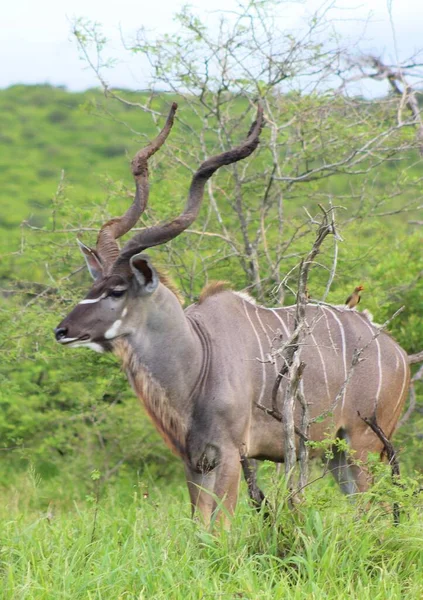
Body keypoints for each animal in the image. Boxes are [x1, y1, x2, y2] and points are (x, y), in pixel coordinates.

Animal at [55, 104, 410, 520]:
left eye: (116, 290)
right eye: (91, 288)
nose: (62, 331)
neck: (198, 355)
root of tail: (398, 352)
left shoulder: (229, 455)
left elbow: (219, 526)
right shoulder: (195, 461)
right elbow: (198, 524)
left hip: (362, 443)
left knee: (377, 510)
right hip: (337, 453)